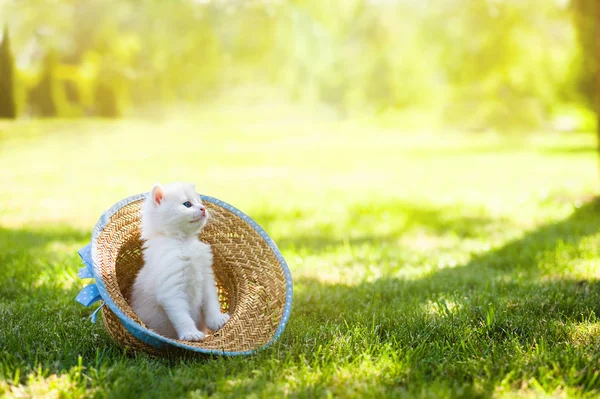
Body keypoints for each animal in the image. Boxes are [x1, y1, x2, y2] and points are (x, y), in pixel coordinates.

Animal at [131, 183, 230, 342]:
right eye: (187, 204)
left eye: (199, 202)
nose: (203, 208)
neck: (183, 242)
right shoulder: (172, 290)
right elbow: (182, 317)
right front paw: (190, 334)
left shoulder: (207, 280)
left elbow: (211, 303)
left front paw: (216, 320)